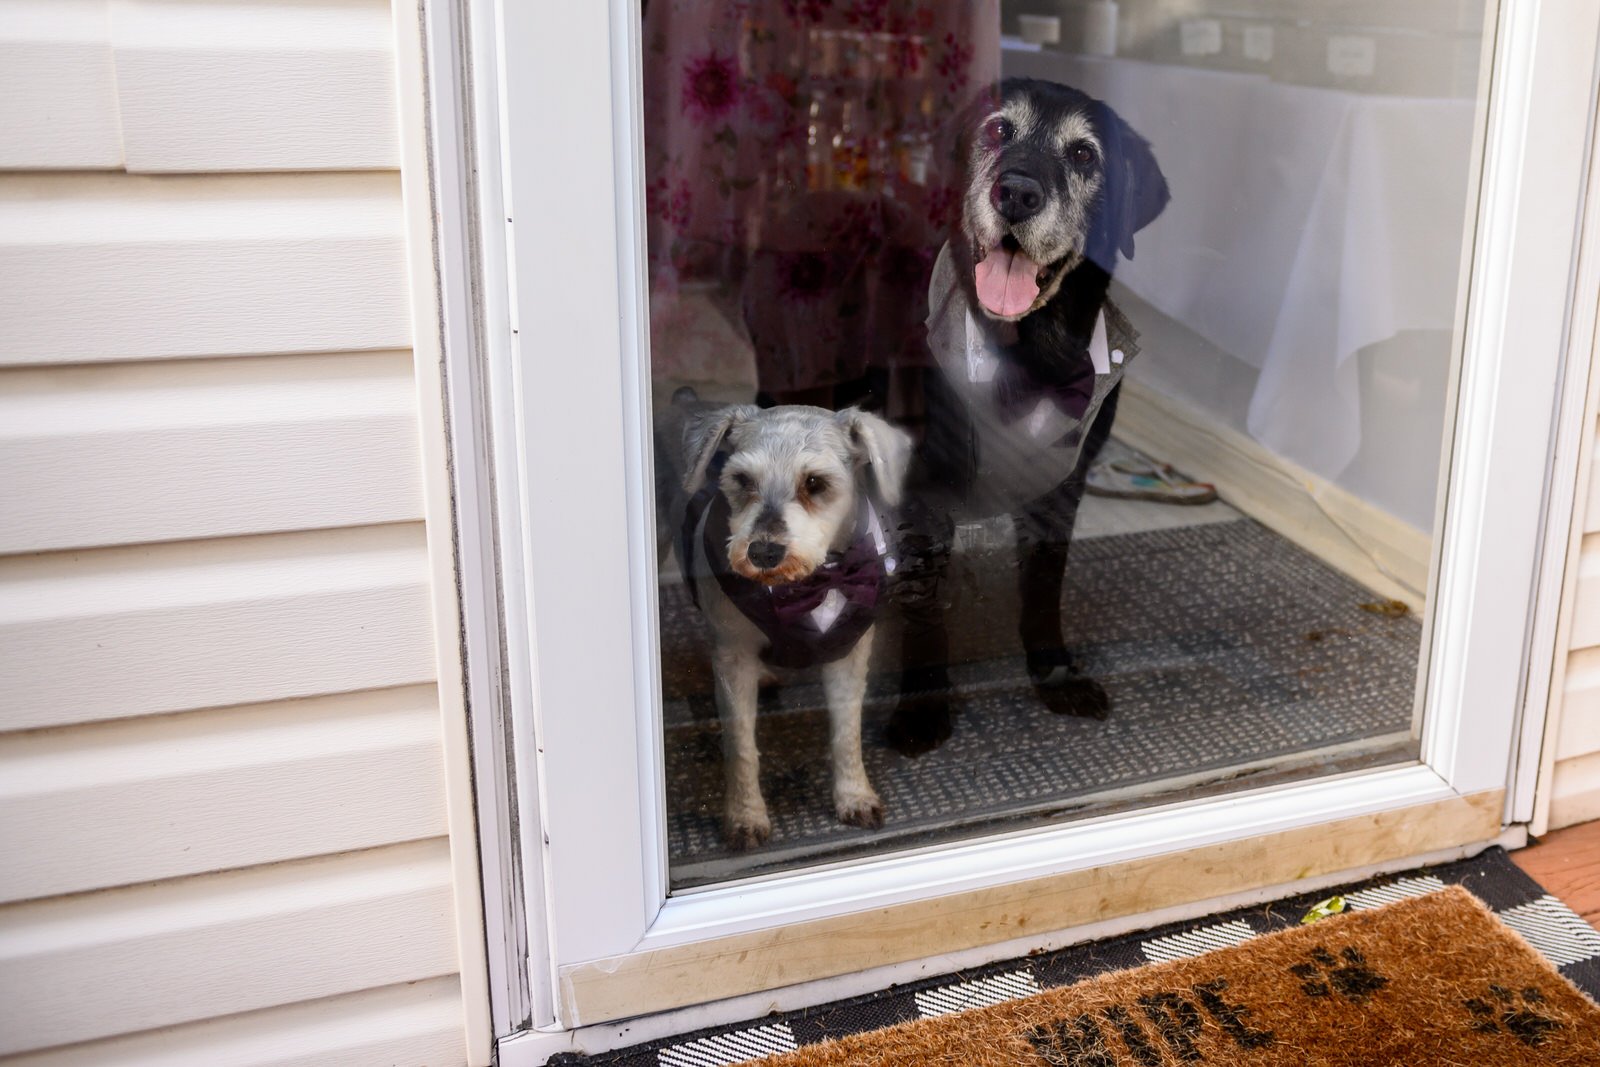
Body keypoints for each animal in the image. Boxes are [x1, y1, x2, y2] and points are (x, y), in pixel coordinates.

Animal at [883, 79, 1171, 755]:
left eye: (1085, 155)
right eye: (996, 131)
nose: (1015, 192)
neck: (1031, 355)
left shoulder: (1062, 485)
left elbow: (1043, 589)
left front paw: (1055, 675)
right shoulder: (920, 491)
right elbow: (924, 606)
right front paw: (923, 711)